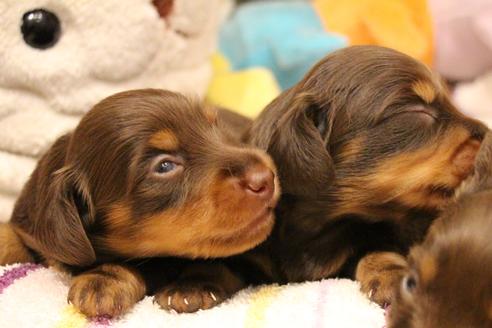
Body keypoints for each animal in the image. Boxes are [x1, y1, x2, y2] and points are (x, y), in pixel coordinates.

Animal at [0, 88, 278, 316]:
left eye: (218, 130)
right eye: (164, 166)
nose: (266, 176)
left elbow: (217, 262)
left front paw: (191, 286)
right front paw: (104, 278)